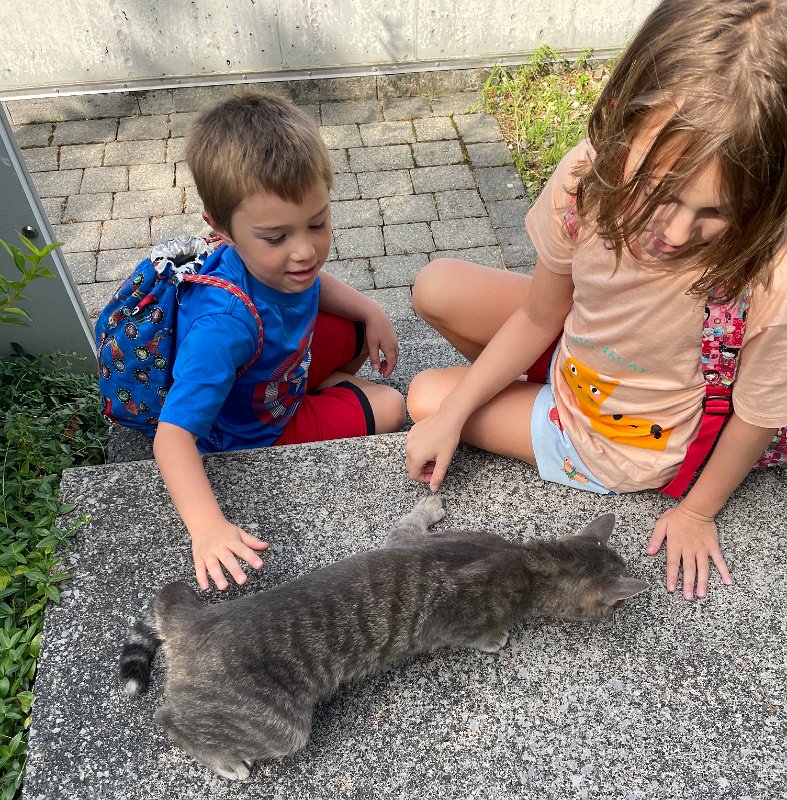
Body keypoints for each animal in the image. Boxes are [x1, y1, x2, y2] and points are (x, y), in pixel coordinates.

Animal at [119, 495, 647, 781]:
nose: (624, 610)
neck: (526, 560)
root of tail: (191, 621)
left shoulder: (406, 540)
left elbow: (408, 524)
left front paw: (426, 505)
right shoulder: (450, 618)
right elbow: (474, 633)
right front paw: (495, 638)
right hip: (280, 728)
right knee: (170, 722)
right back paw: (221, 759)